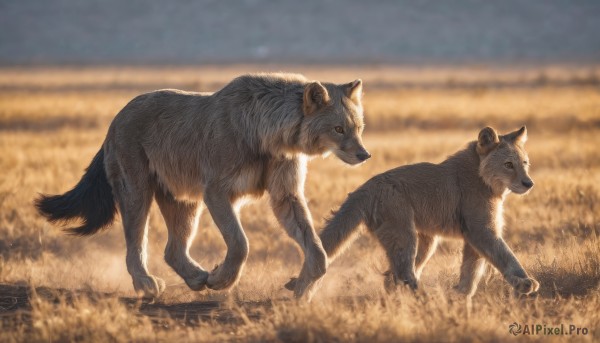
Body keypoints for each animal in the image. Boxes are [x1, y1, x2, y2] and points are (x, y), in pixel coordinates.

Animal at [36, 72, 370, 298]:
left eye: (359, 127)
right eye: (339, 129)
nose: (363, 154)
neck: (273, 138)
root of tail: (116, 118)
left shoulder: (284, 192)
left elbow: (314, 245)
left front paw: (302, 286)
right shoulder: (217, 190)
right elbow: (239, 242)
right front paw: (222, 279)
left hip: (182, 197)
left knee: (173, 248)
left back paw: (196, 277)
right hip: (136, 186)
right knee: (135, 241)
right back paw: (148, 283)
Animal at [288, 126, 540, 300]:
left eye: (525, 163)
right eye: (509, 164)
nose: (528, 183)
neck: (486, 180)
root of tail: (365, 188)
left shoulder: (474, 236)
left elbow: (472, 270)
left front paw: (462, 297)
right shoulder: (481, 229)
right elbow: (503, 255)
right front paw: (525, 283)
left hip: (425, 240)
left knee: (392, 278)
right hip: (404, 232)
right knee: (402, 274)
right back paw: (426, 299)